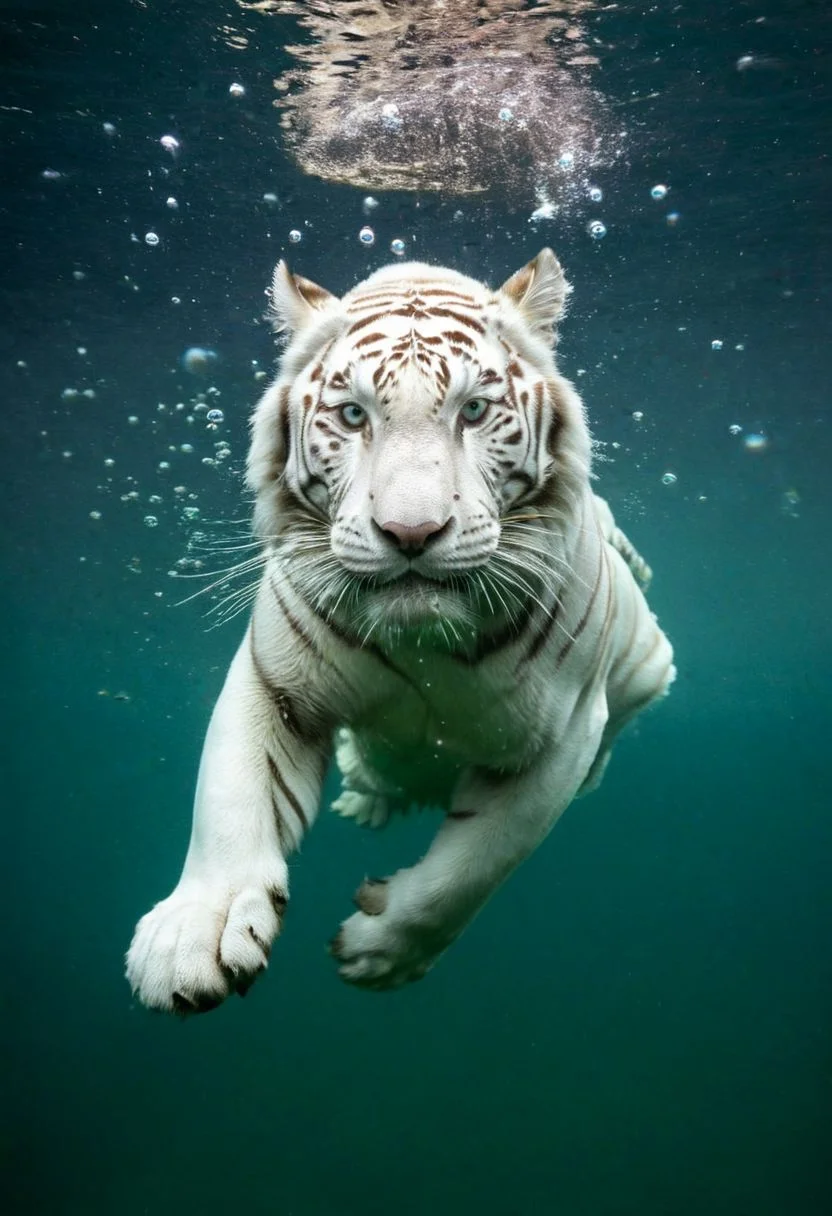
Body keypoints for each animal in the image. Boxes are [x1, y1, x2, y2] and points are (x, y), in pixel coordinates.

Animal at [125, 248, 675, 1012]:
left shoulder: (561, 736)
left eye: (473, 410)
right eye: (354, 415)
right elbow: (231, 796)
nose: (411, 532)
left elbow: (478, 862)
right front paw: (191, 938)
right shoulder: (273, 682)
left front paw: (382, 951)